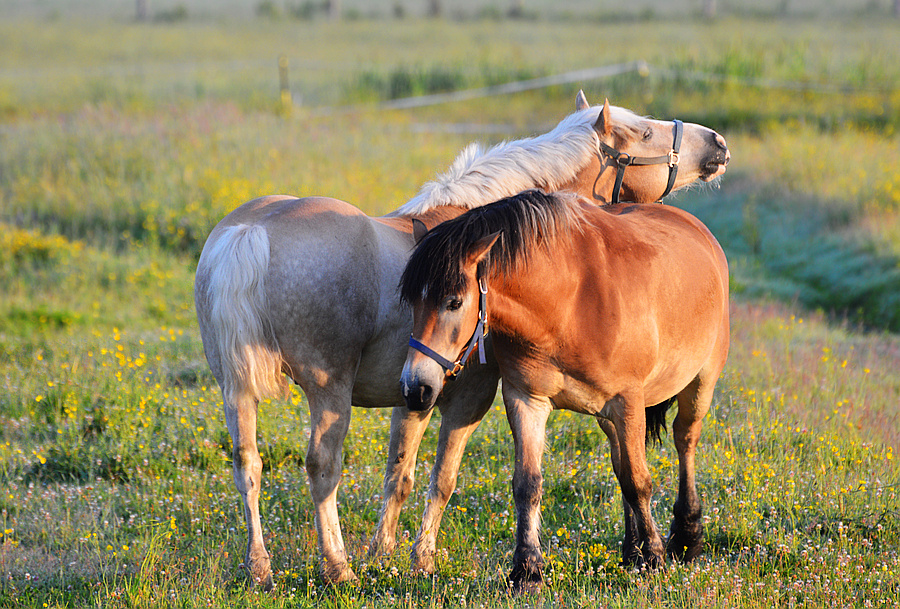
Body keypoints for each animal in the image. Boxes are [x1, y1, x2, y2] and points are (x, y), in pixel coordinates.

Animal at [400, 189, 732, 588]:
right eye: (412, 301)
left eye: (454, 302)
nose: (415, 387)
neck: (568, 302)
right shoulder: (526, 399)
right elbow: (527, 484)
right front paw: (527, 569)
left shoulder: (628, 401)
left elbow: (640, 481)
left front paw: (655, 558)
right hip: (608, 417)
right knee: (621, 462)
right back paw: (631, 550)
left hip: (700, 384)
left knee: (685, 440)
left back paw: (685, 536)